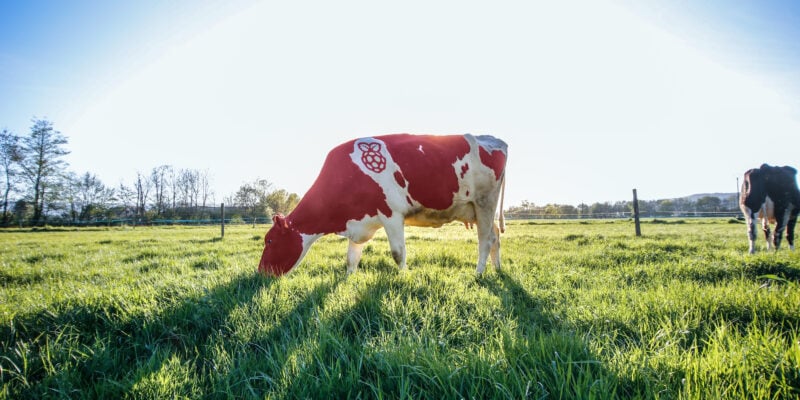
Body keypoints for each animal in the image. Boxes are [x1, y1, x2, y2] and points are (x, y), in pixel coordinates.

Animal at [258, 133, 508, 276]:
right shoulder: (359, 221)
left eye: (269, 240)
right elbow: (351, 258)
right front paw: (348, 279)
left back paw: (478, 273)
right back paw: (497, 269)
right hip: (477, 209)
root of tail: (493, 139)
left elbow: (398, 253)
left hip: (485, 202)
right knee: (495, 236)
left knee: (485, 241)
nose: (260, 273)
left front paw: (404, 277)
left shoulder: (391, 214)